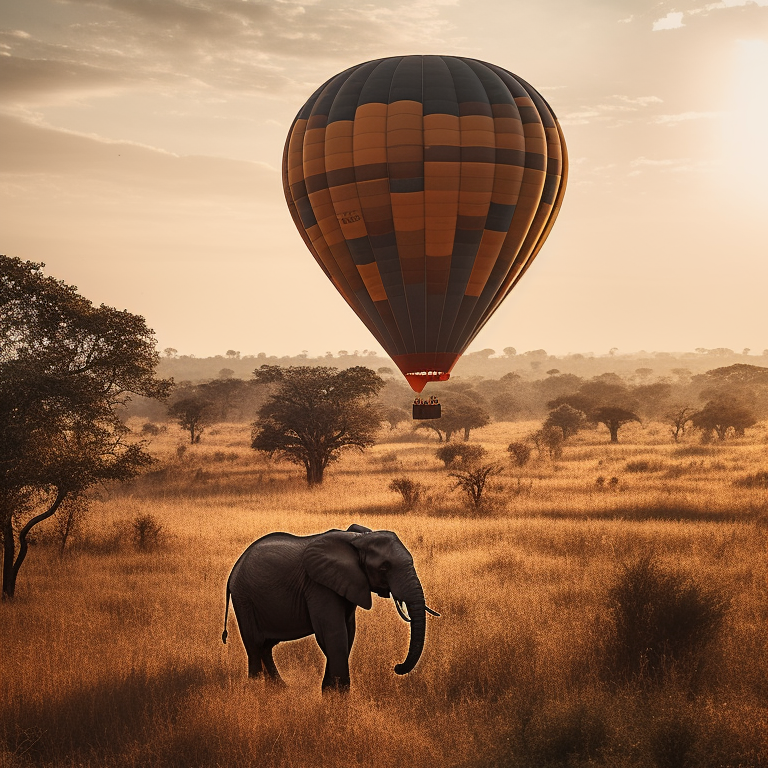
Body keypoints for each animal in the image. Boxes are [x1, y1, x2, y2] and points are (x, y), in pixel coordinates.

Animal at [222, 520, 438, 688]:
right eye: (384, 567)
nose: (396, 667)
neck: (358, 539)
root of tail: (234, 570)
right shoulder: (318, 585)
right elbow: (334, 633)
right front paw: (338, 698)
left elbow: (348, 633)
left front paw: (330, 692)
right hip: (244, 599)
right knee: (255, 644)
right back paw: (257, 688)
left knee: (266, 646)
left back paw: (280, 689)